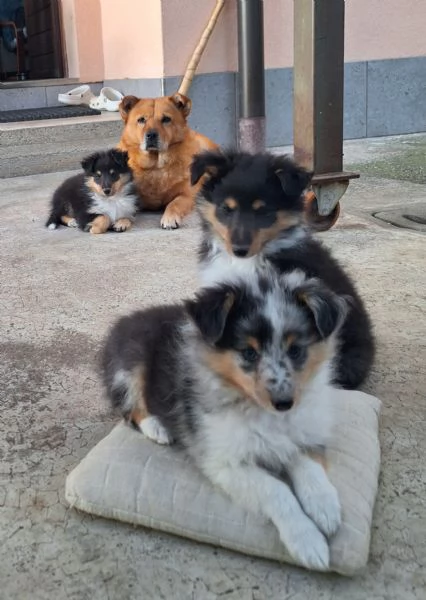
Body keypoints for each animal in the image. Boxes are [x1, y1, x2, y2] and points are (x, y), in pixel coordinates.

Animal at [101, 270, 348, 568]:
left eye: (296, 350)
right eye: (249, 352)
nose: (284, 403)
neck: (263, 413)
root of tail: (126, 319)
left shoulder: (304, 433)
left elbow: (310, 466)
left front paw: (325, 507)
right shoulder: (223, 462)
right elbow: (276, 490)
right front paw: (308, 541)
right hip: (130, 363)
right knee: (132, 406)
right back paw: (158, 428)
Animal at [116, 92, 216, 229]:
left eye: (166, 119)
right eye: (141, 120)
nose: (151, 135)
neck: (155, 166)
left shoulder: (187, 195)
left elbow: (174, 204)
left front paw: (170, 218)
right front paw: (122, 220)